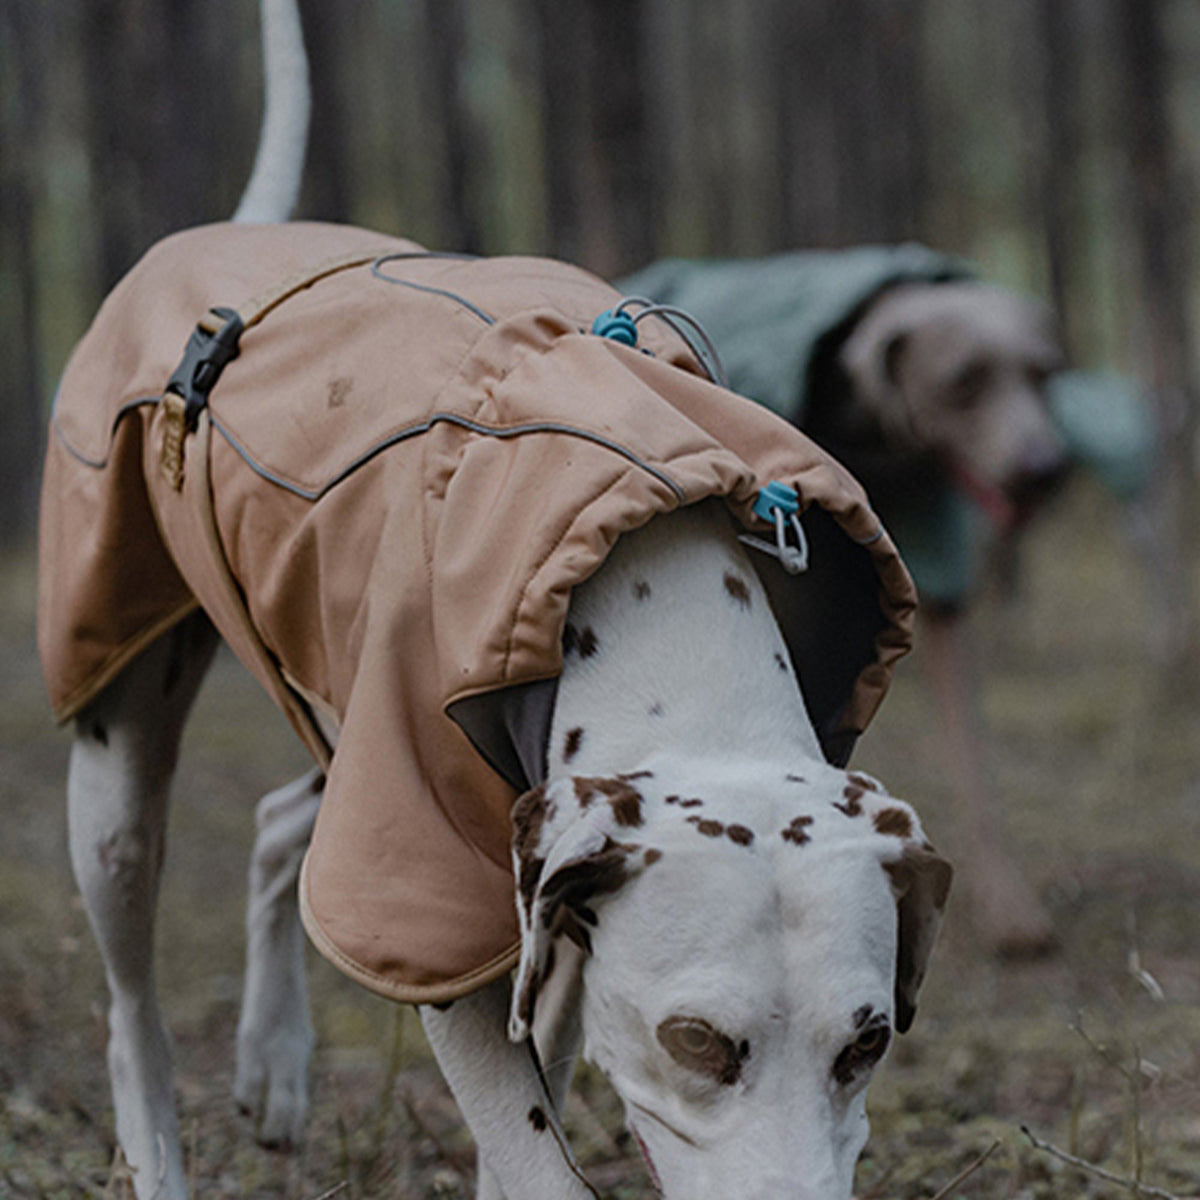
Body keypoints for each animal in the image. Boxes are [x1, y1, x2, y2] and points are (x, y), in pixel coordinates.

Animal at [39, 2, 945, 1200]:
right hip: (121, 770)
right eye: (697, 1039)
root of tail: (217, 233)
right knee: (130, 1004)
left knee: (287, 829)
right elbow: (536, 1154)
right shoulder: (444, 914)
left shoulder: (522, 908)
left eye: (867, 1041)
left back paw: (274, 1061)